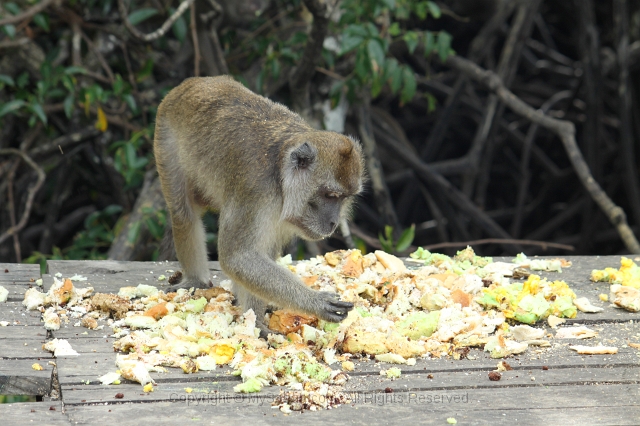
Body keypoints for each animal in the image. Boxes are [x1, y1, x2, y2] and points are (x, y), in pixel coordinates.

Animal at [154, 76, 364, 336]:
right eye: (330, 195)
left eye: (343, 198)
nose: (334, 222)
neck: (280, 177)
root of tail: (195, 82)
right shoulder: (255, 192)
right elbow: (239, 258)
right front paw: (313, 302)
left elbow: (256, 256)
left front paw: (255, 318)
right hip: (166, 134)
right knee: (184, 214)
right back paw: (195, 279)